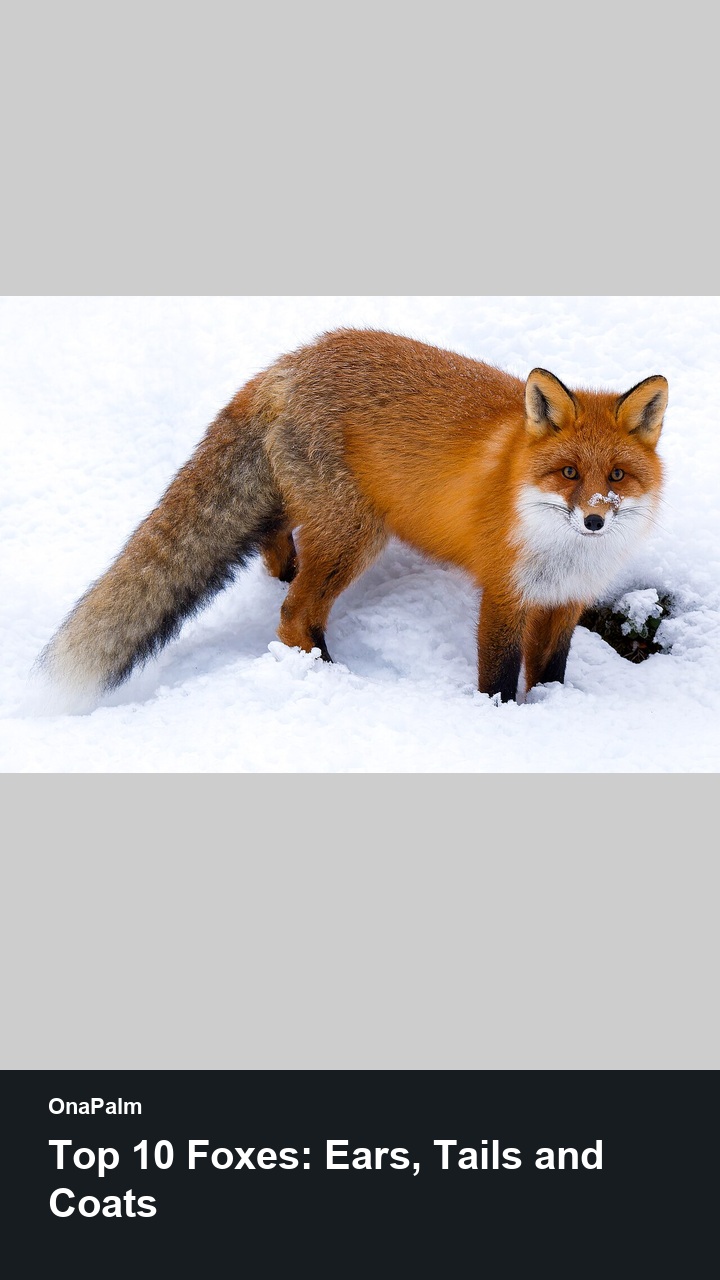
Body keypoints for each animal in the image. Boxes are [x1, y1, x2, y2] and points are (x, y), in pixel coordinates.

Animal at [39, 328, 668, 704]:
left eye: (616, 476)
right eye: (568, 473)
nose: (594, 521)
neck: (565, 554)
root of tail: (288, 363)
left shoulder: (566, 601)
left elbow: (550, 672)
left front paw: (553, 711)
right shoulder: (504, 593)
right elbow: (498, 675)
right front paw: (501, 718)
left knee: (275, 546)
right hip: (356, 534)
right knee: (294, 615)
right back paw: (332, 678)